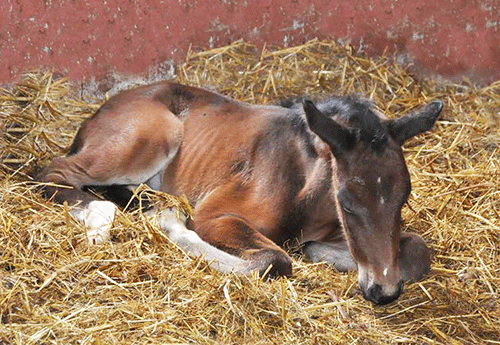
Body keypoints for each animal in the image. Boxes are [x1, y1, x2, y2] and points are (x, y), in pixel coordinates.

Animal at [38, 82, 442, 304]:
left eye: (404, 198)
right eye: (346, 199)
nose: (383, 292)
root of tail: (99, 113)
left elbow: (417, 251)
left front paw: (318, 251)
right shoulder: (215, 214)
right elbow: (275, 260)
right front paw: (172, 225)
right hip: (152, 137)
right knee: (52, 172)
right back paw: (107, 216)